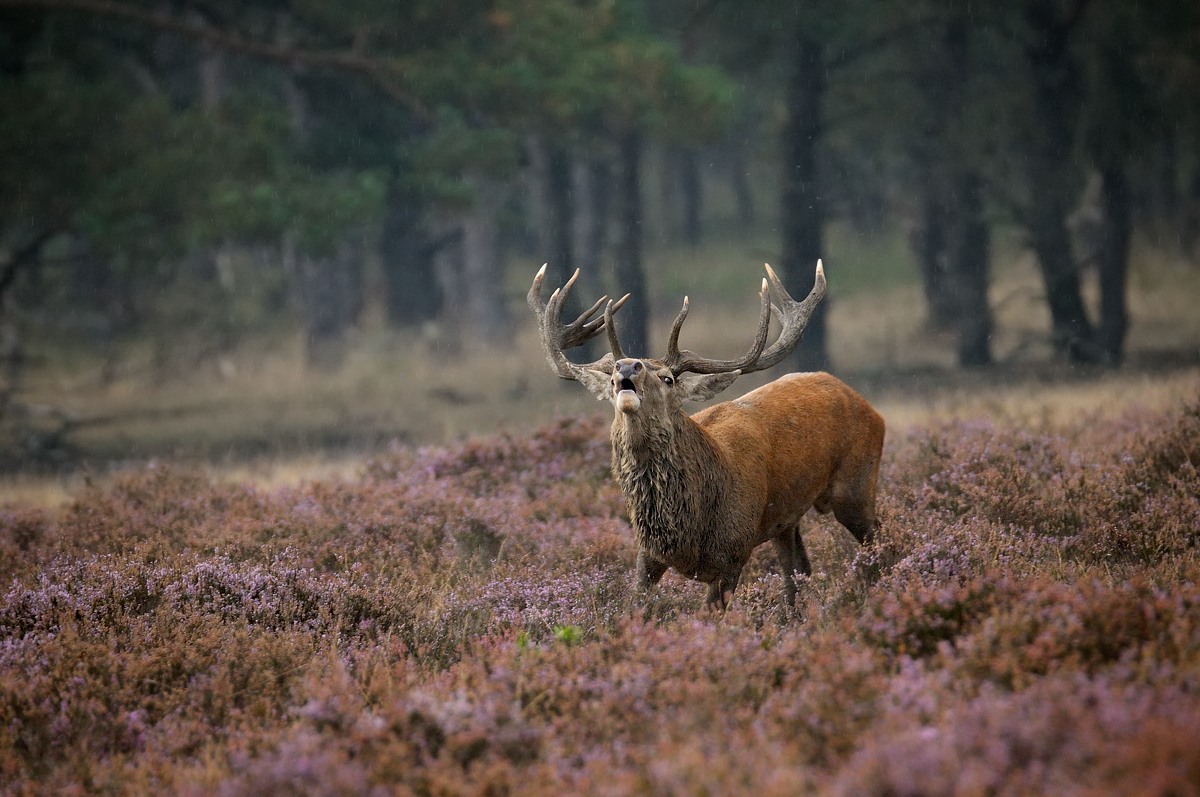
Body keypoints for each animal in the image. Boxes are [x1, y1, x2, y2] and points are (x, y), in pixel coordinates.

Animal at [527, 261, 885, 610]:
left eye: (668, 378)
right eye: (614, 375)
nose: (627, 366)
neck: (688, 524)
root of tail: (865, 403)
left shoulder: (733, 555)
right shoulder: (648, 554)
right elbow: (634, 608)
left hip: (855, 485)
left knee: (879, 541)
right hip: (786, 519)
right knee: (797, 571)